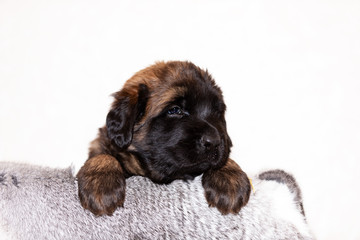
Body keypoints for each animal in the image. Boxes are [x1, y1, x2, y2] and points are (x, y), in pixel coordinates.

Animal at [76, 60, 250, 216]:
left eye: (217, 113)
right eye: (174, 110)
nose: (214, 142)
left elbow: (224, 160)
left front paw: (229, 178)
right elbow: (102, 156)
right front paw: (102, 184)